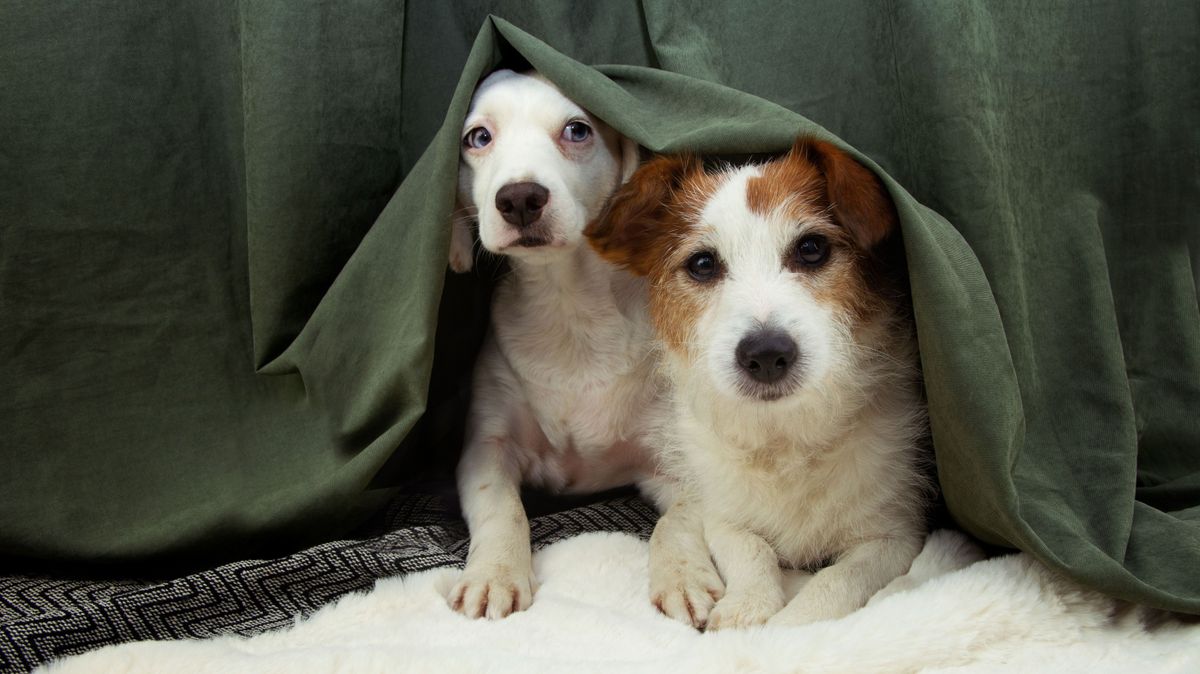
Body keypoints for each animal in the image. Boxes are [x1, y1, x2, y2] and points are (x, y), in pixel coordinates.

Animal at [444, 70, 715, 623]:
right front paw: (494, 574)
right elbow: (502, 510)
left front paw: (683, 576)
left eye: (577, 130)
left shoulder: (679, 459)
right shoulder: (486, 449)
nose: (520, 197)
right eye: (478, 137)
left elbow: (678, 521)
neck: (570, 313)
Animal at [585, 139, 931, 628]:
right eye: (703, 263)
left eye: (811, 248)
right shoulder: (724, 515)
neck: (783, 438)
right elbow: (751, 549)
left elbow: (837, 579)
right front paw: (747, 606)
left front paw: (789, 626)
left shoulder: (894, 536)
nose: (766, 354)